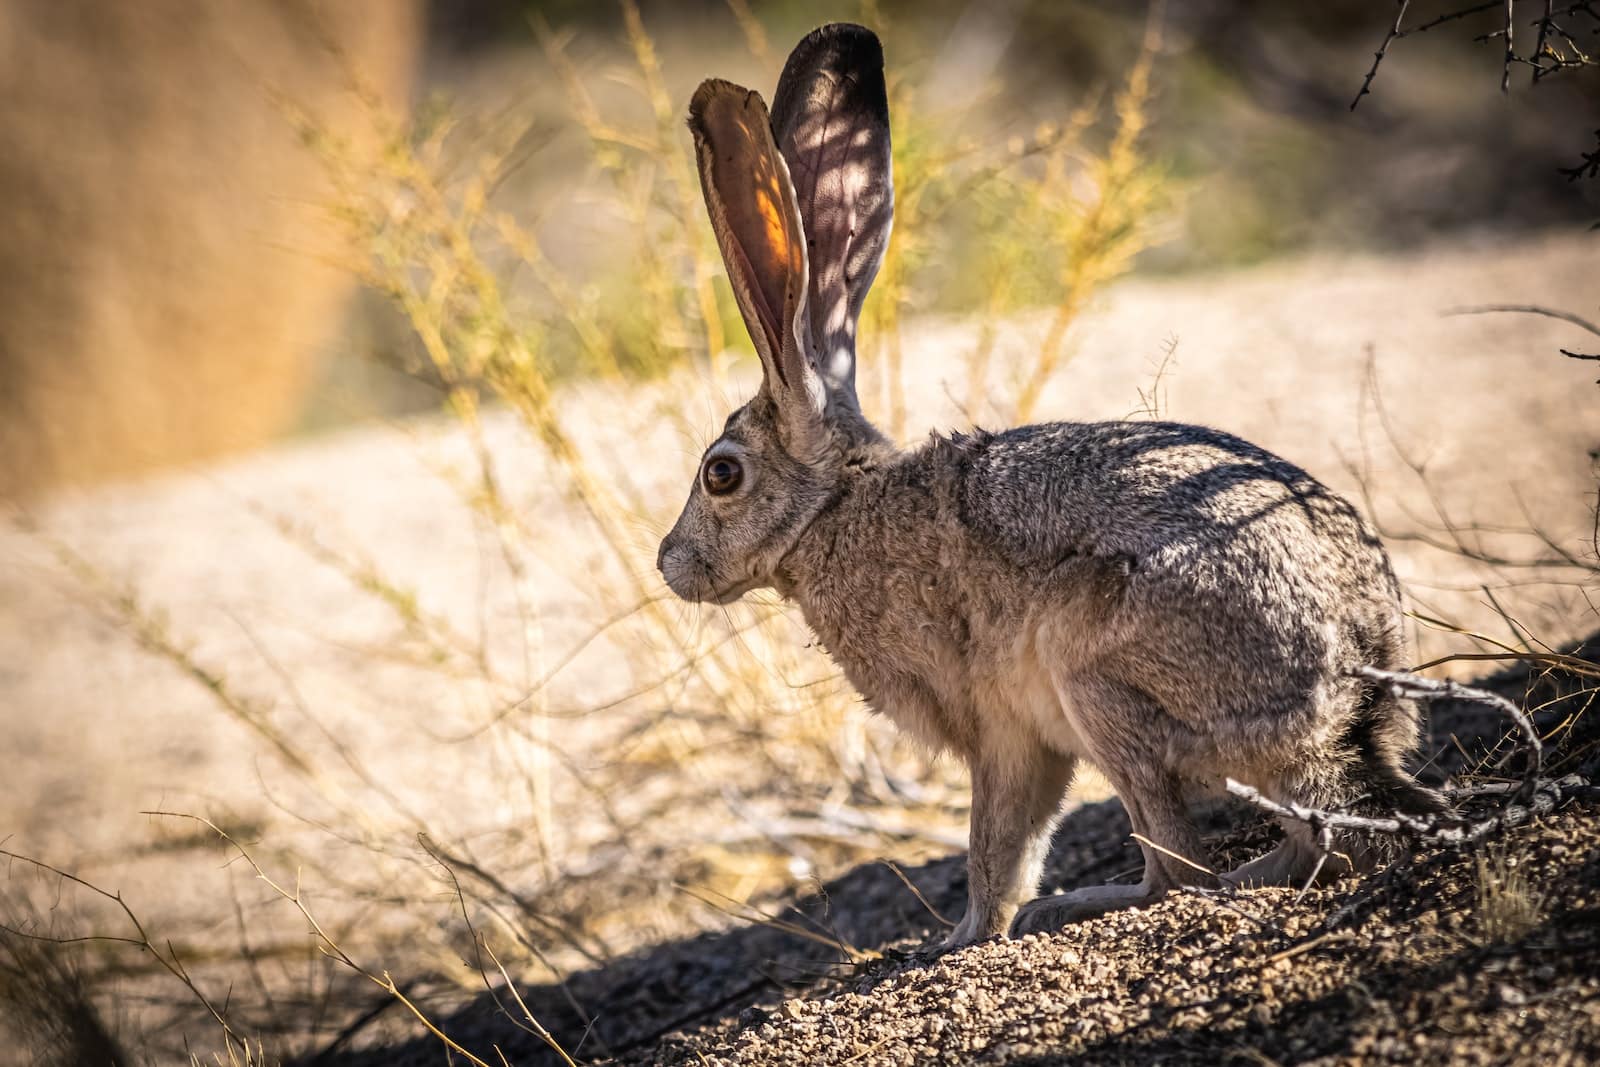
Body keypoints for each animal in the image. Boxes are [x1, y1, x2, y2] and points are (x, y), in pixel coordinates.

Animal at [656, 22, 1446, 948]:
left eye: (721, 472)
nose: (668, 562)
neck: (834, 511)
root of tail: (1351, 686)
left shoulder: (997, 727)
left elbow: (995, 844)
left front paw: (960, 938)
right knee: (1314, 841)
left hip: (1094, 674)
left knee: (1183, 871)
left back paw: (1083, 903)